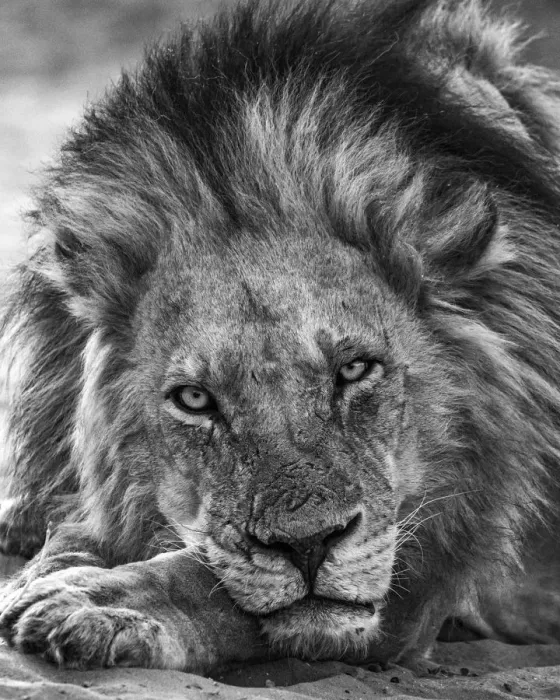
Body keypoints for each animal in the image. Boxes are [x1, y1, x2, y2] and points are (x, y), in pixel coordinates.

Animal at [1, 0, 560, 675]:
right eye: (194, 399)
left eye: (355, 369)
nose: (309, 545)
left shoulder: (422, 574)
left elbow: (207, 583)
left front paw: (94, 602)